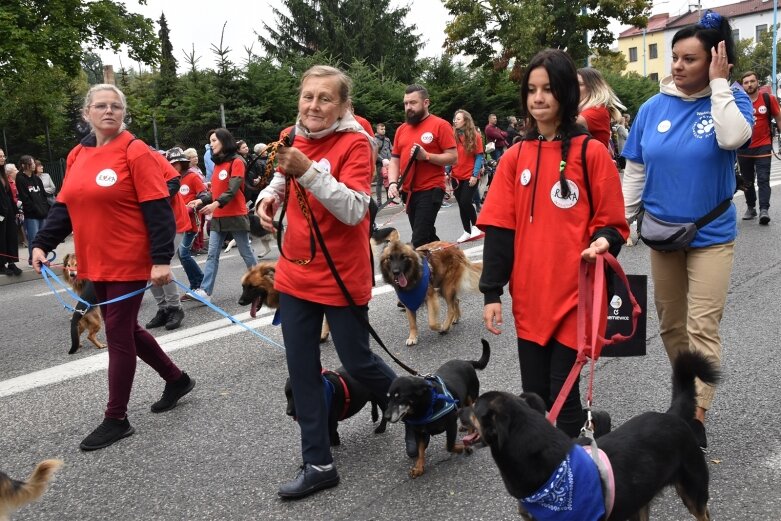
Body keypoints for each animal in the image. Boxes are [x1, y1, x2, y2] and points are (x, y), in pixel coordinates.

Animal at [382, 340, 488, 478]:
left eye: (400, 397)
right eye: (388, 397)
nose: (386, 417)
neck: (426, 408)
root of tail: (466, 362)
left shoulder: (451, 425)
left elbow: (449, 445)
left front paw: (463, 447)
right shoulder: (419, 432)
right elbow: (420, 450)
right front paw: (419, 467)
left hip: (471, 396)